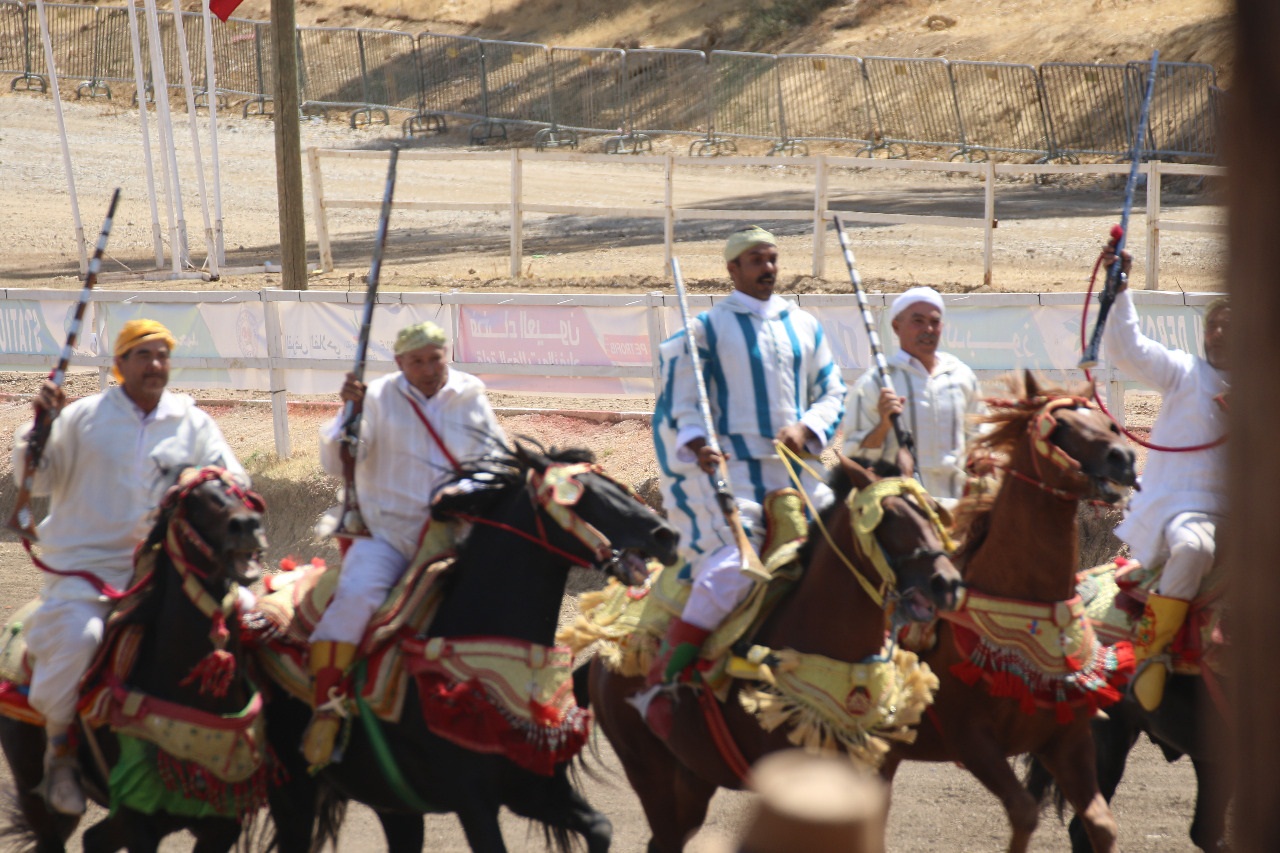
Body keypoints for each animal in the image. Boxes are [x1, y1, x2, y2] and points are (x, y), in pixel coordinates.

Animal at [0, 466, 267, 850]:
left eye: (240, 491)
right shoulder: (138, 816)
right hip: (32, 790)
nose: (247, 525)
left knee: (93, 839)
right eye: (193, 502)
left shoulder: (221, 823)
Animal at [264, 445, 686, 850]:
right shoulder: (474, 803)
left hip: (393, 807)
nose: (666, 535)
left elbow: (599, 829)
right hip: (293, 798)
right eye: (580, 495)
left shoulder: (534, 791)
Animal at [586, 448, 962, 845]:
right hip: (652, 777)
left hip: (693, 778)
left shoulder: (873, 780)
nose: (947, 583)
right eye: (886, 516)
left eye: (932, 509)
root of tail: (599, 660)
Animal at [880, 373, 1141, 850]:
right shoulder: (972, 740)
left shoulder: (1067, 743)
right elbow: (1023, 812)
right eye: (1059, 427)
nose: (1124, 456)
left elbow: (1099, 826)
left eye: (1107, 422)